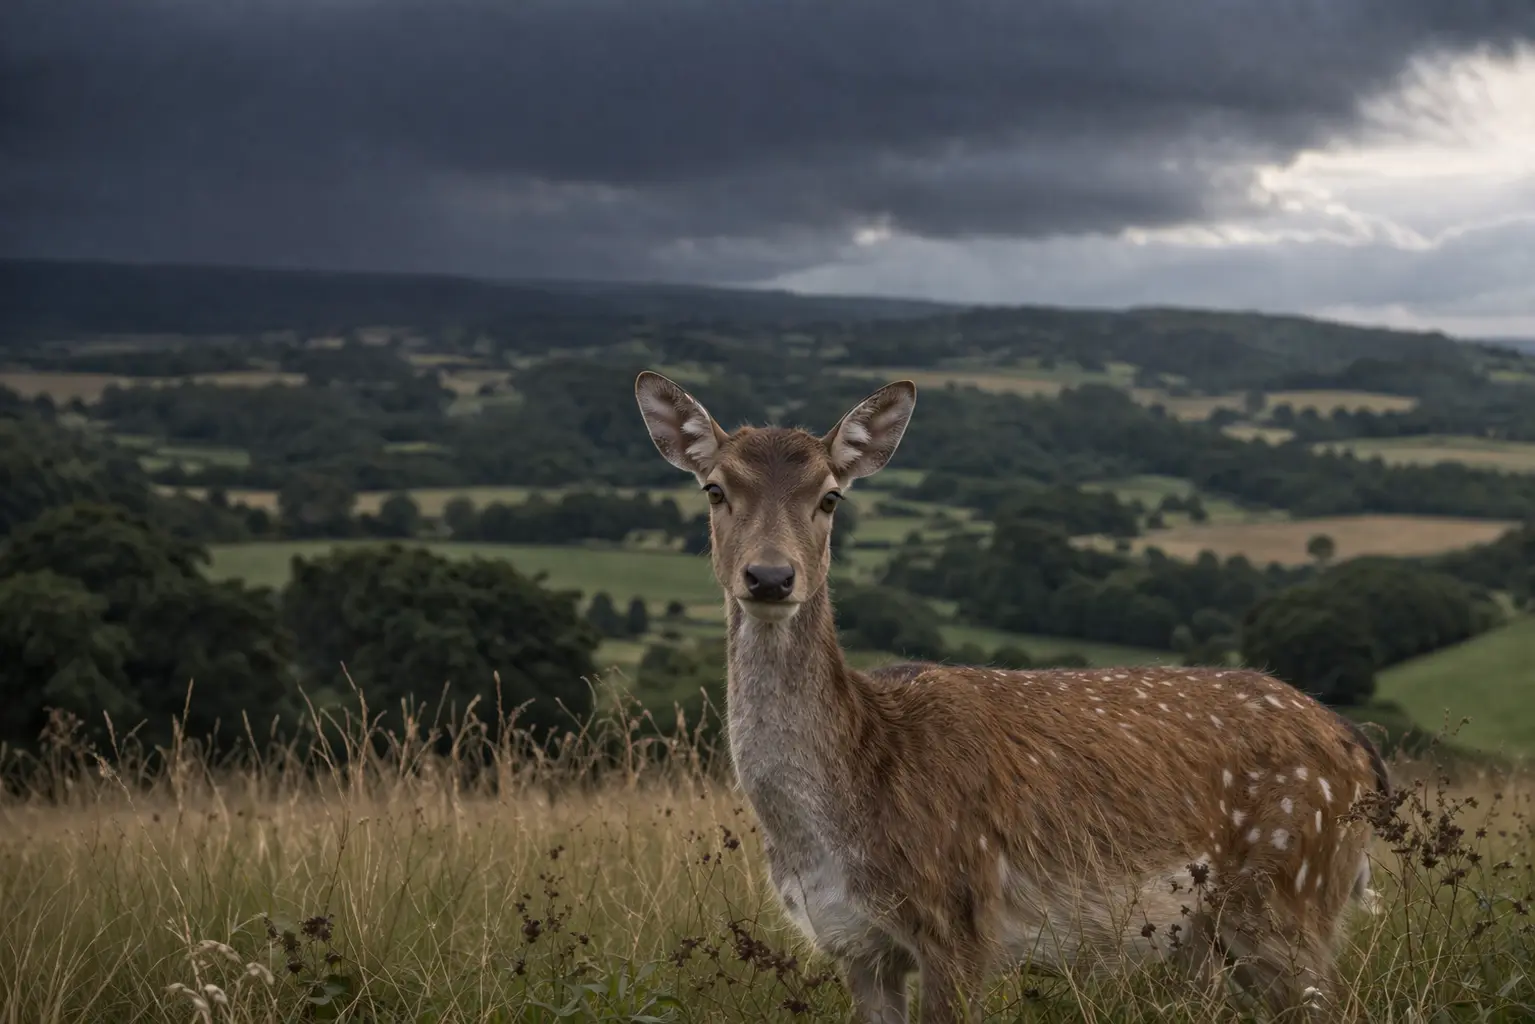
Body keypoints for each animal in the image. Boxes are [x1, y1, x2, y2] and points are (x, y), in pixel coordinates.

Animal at [633, 370, 1389, 1023]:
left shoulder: (962, 922)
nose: (769, 577)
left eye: (829, 496)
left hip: (1288, 887)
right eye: (714, 490)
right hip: (1209, 935)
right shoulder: (853, 946)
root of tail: (1358, 748)